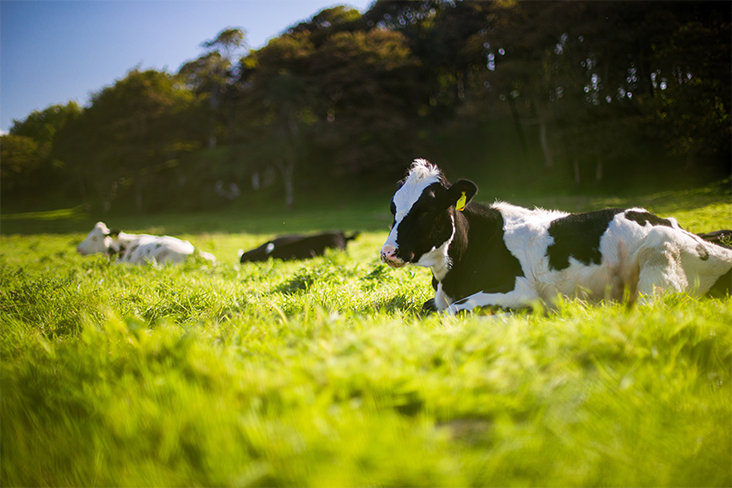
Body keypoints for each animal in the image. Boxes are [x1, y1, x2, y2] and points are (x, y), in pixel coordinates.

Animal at [380, 158, 732, 314]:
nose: (387, 252)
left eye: (426, 209)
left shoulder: (517, 289)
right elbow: (430, 307)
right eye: (393, 207)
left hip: (657, 268)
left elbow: (454, 310)